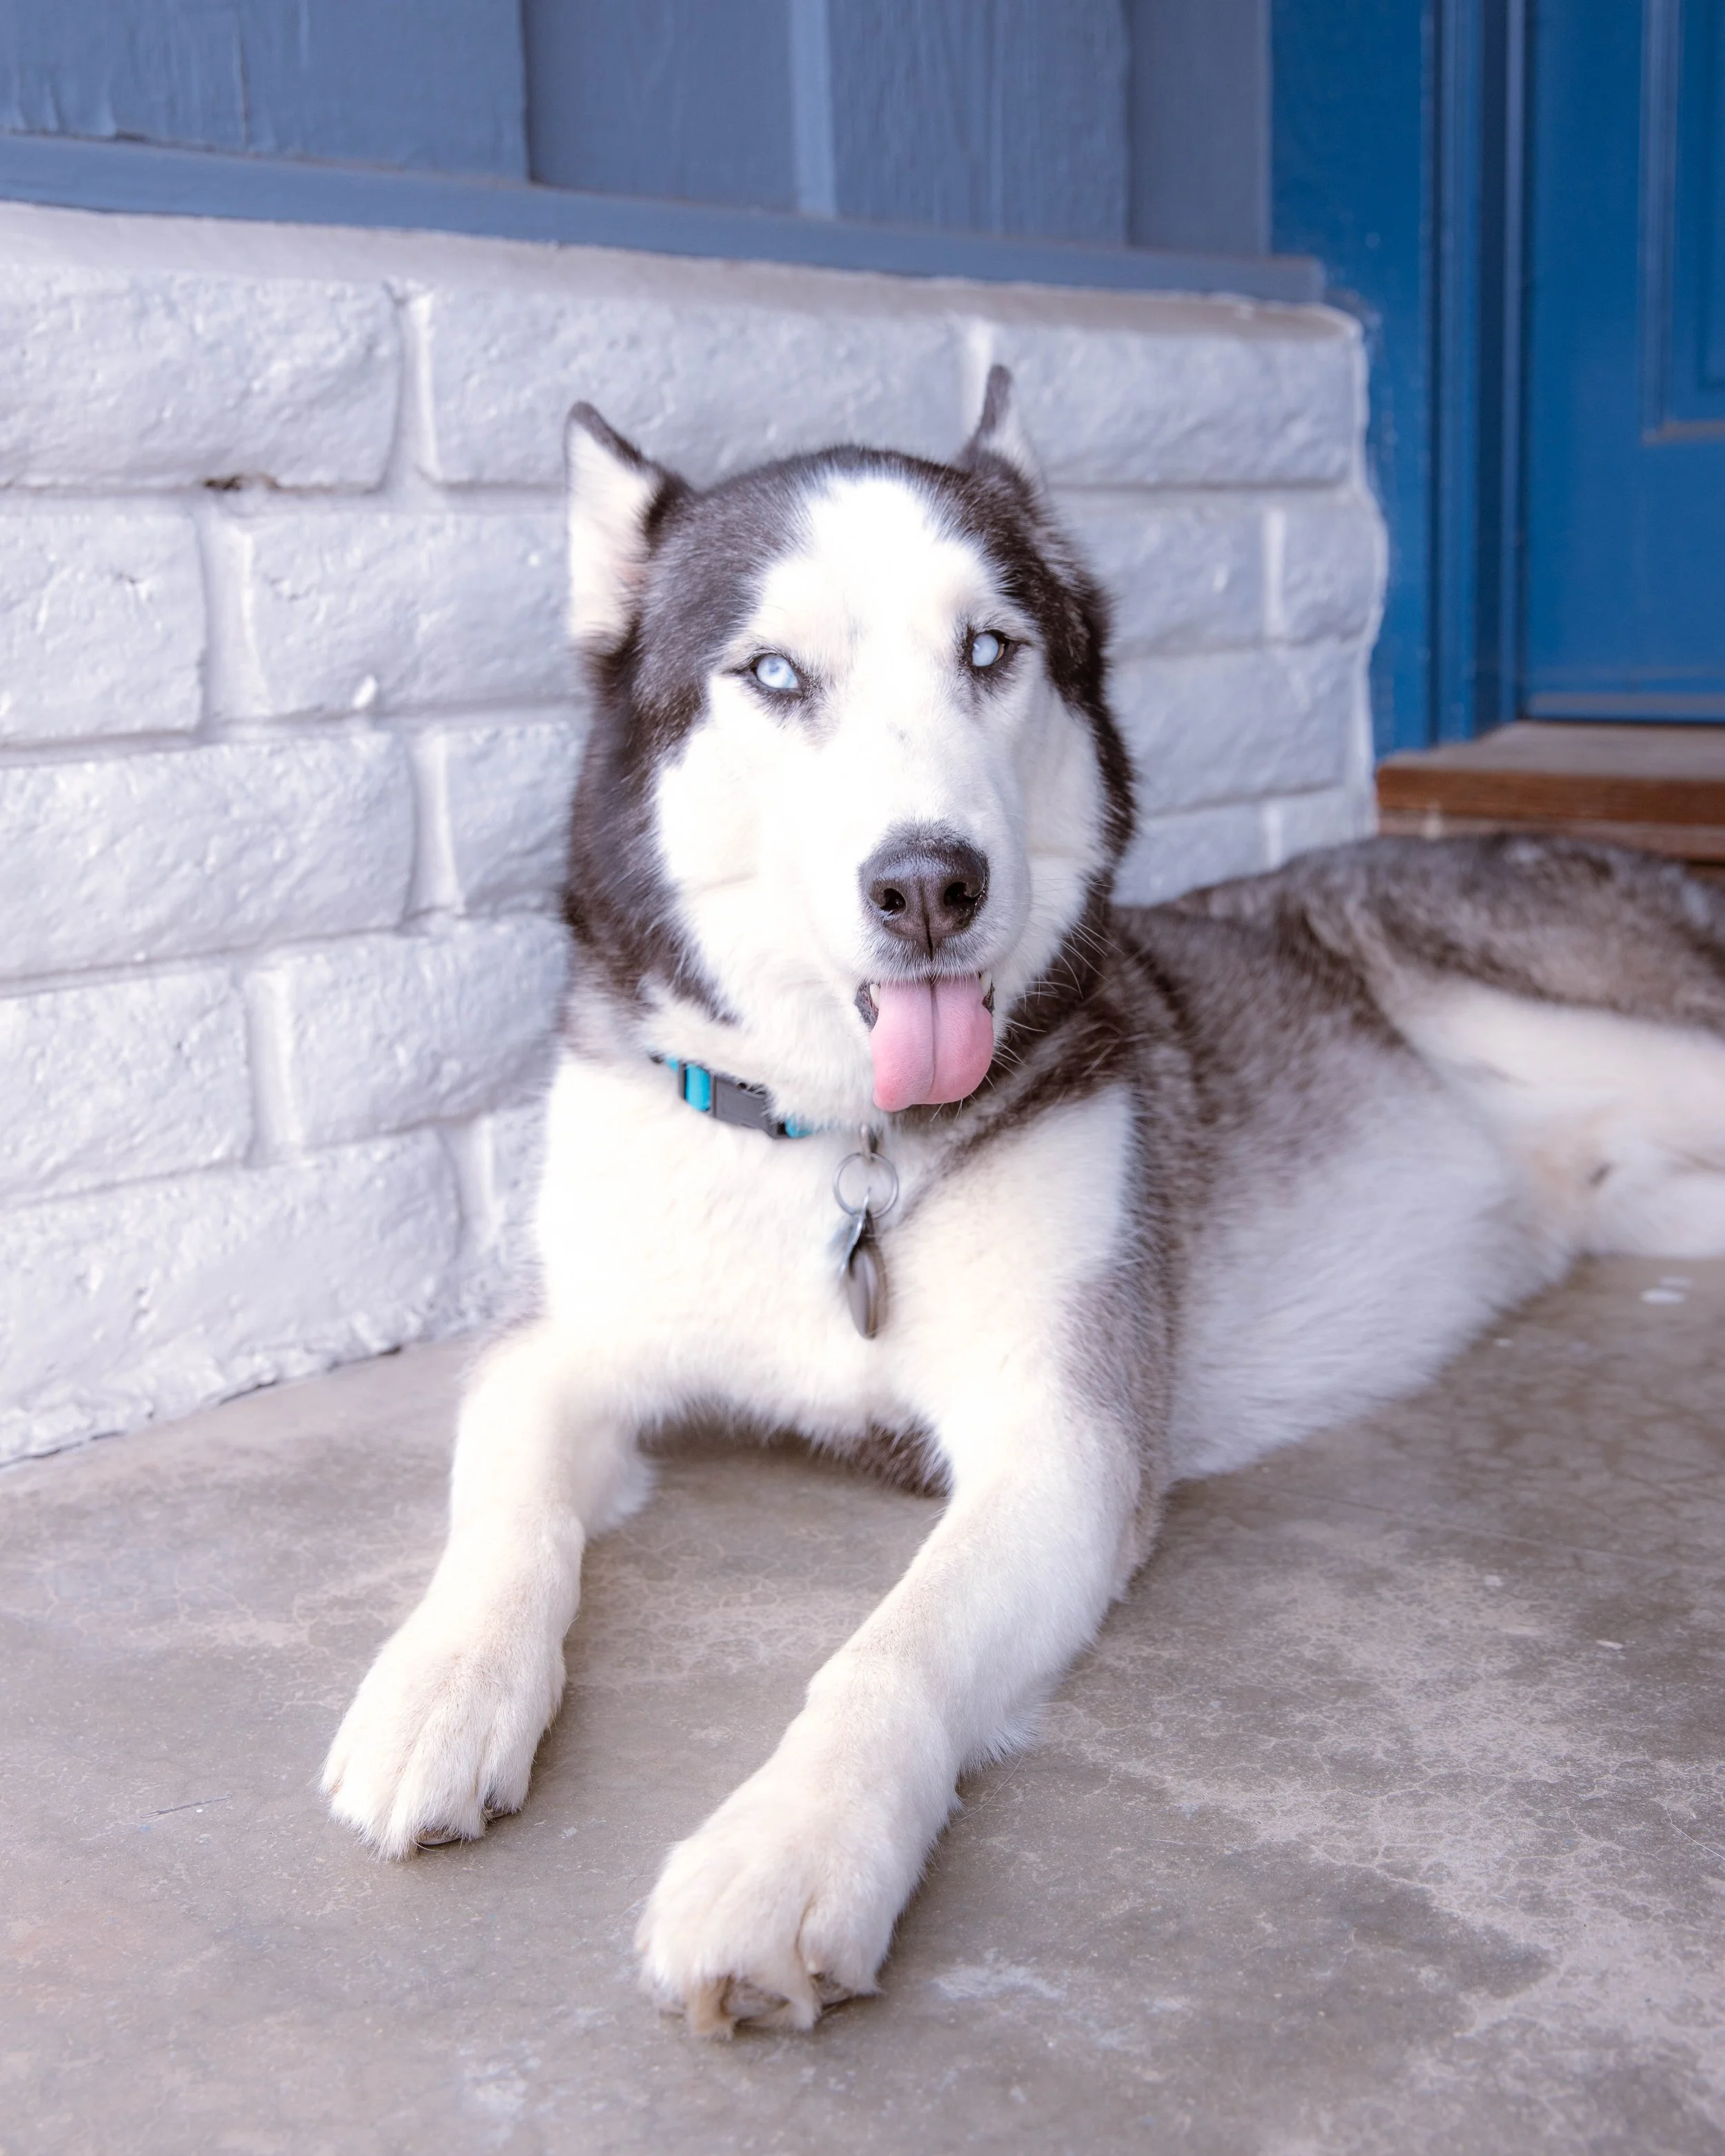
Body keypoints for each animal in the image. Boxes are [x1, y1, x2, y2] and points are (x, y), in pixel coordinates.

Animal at [323, 369, 1725, 2036]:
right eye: (773, 672)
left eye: (989, 650)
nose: (930, 883)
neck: (840, 1141)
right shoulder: (567, 1345)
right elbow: (505, 1501)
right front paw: (442, 1684)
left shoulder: (1066, 1441)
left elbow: (891, 1646)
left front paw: (789, 1849)